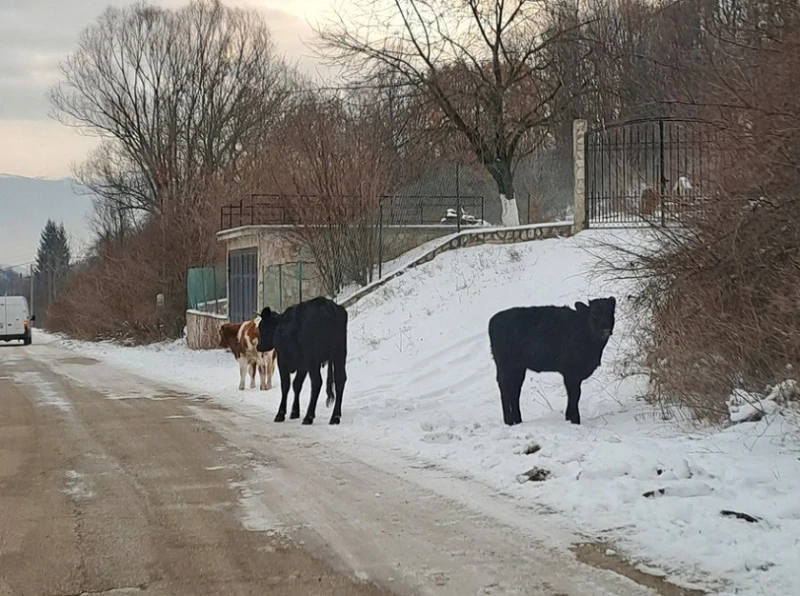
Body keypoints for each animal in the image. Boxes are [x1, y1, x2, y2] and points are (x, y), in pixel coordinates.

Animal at [258, 296, 348, 424]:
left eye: (262, 328)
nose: (258, 346)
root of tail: (329, 306)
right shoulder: (303, 365)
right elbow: (297, 384)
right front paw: (295, 412)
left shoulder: (283, 360)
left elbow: (286, 385)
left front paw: (280, 414)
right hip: (339, 353)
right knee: (340, 379)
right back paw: (335, 417)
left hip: (313, 358)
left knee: (317, 382)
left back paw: (309, 416)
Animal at [488, 296, 620, 426]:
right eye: (594, 314)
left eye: (610, 313)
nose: (605, 330)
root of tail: (493, 320)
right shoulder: (570, 373)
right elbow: (575, 395)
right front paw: (575, 420)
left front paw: (568, 417)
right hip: (506, 366)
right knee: (505, 388)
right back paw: (509, 421)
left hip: (519, 368)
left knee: (515, 390)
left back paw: (518, 420)